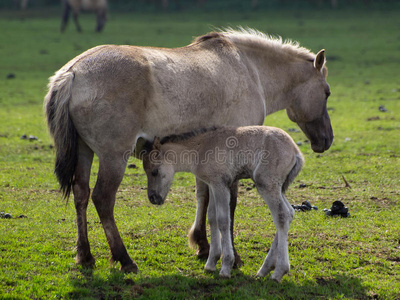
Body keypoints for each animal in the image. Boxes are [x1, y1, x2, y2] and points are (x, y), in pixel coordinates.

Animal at [142, 125, 304, 280]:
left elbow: (223, 220)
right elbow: (212, 218)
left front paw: (226, 267)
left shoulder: (221, 184)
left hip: (266, 184)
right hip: (278, 188)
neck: (200, 149)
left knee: (282, 215)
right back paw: (264, 270)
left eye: (154, 172)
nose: (153, 198)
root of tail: (296, 151)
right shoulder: (212, 184)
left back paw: (278, 272)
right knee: (290, 212)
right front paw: (211, 263)